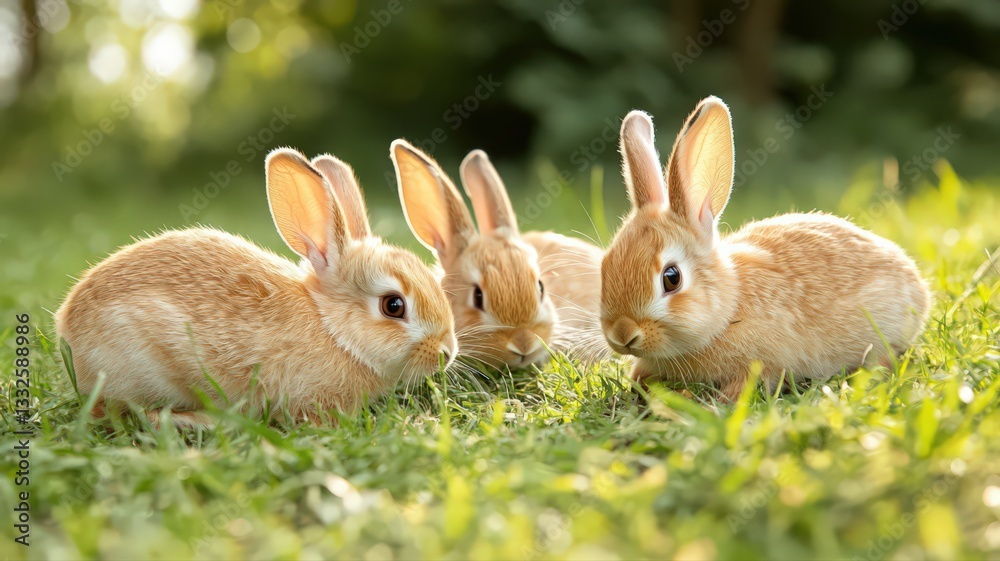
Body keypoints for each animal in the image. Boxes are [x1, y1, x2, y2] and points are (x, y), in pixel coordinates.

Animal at [600, 96, 930, 401]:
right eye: (604, 266)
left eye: (672, 278)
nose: (622, 334)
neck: (729, 308)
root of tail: (917, 285)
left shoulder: (760, 364)